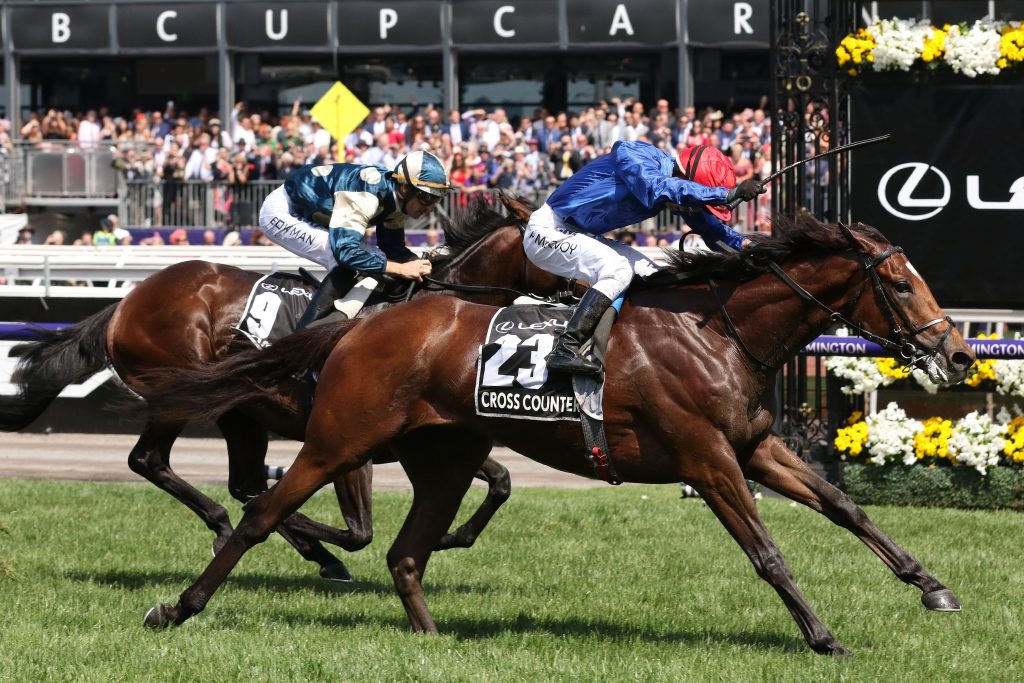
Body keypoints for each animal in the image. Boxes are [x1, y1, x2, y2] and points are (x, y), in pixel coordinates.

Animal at [0, 194, 572, 580]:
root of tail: (125, 303)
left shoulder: (435, 430)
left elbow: (501, 481)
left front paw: (454, 534)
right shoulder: (354, 444)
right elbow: (358, 532)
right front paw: (325, 547)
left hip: (240, 412)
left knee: (240, 480)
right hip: (183, 393)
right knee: (154, 462)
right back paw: (247, 532)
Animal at [139, 216, 974, 654]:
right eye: (898, 282)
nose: (960, 351)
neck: (717, 332)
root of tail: (361, 326)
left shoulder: (753, 446)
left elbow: (844, 506)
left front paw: (931, 584)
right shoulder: (708, 458)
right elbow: (766, 551)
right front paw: (822, 634)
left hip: (446, 457)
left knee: (405, 552)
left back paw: (436, 641)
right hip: (339, 440)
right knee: (259, 512)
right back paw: (178, 605)